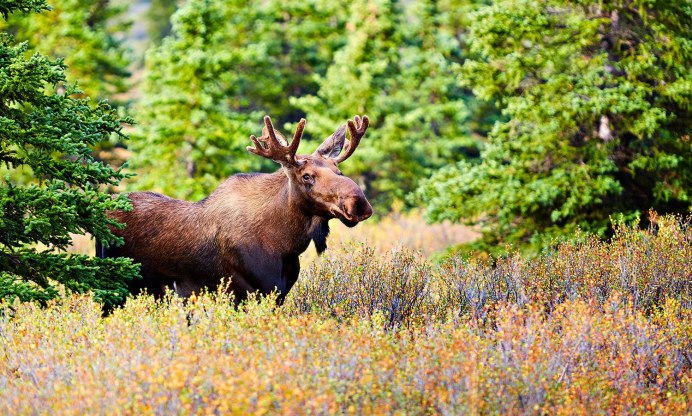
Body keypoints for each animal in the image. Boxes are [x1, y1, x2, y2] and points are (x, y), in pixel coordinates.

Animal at [98, 115, 374, 304]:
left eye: (338, 171)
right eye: (306, 176)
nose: (359, 203)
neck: (286, 244)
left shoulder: (279, 294)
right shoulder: (248, 292)